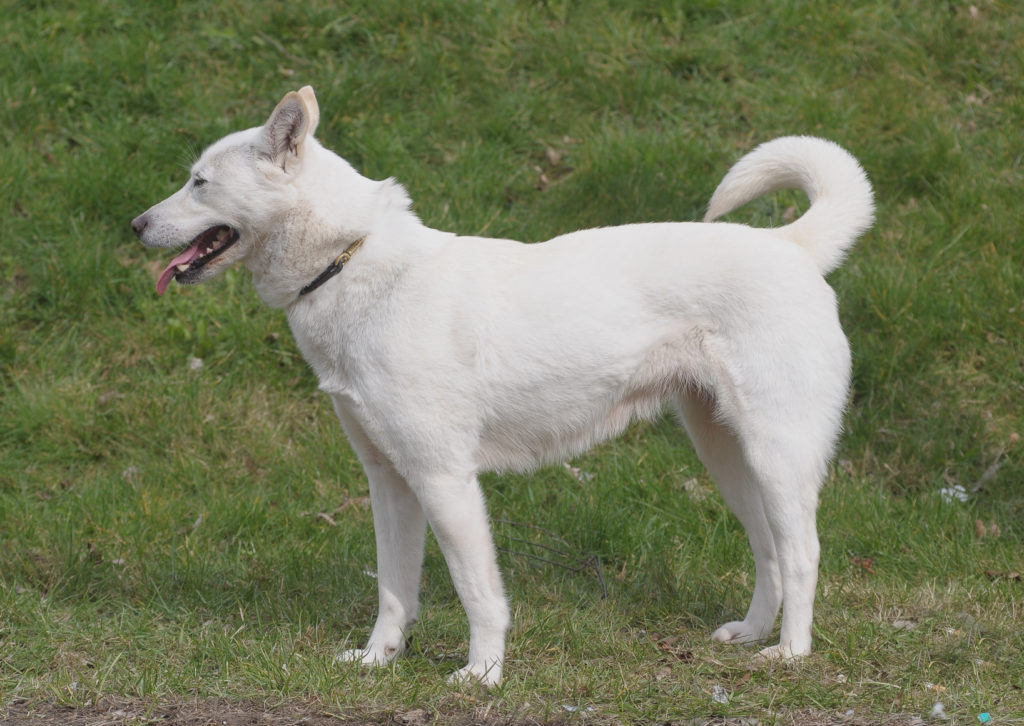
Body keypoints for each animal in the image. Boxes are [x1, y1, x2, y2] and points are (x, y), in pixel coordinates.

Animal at [132, 86, 872, 684]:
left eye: (199, 182)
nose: (135, 225)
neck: (351, 260)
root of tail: (792, 247)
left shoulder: (444, 480)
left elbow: (477, 592)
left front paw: (483, 675)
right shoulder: (389, 482)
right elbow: (394, 591)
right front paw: (377, 661)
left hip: (777, 457)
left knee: (802, 552)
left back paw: (790, 653)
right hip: (726, 456)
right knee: (768, 550)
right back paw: (750, 635)